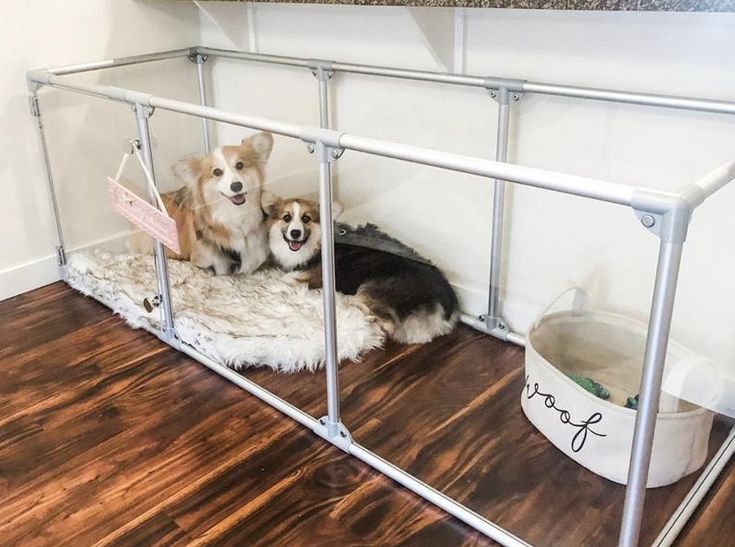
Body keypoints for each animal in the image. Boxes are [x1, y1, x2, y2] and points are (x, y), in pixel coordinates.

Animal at [129, 131, 274, 276]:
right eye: (217, 172)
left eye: (240, 165)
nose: (236, 186)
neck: (236, 214)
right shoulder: (206, 260)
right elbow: (217, 269)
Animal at [268, 197, 458, 342]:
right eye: (286, 218)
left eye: (306, 219)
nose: (295, 233)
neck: (317, 242)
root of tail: (447, 307)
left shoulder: (312, 276)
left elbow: (283, 279)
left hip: (370, 287)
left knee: (389, 325)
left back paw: (350, 303)